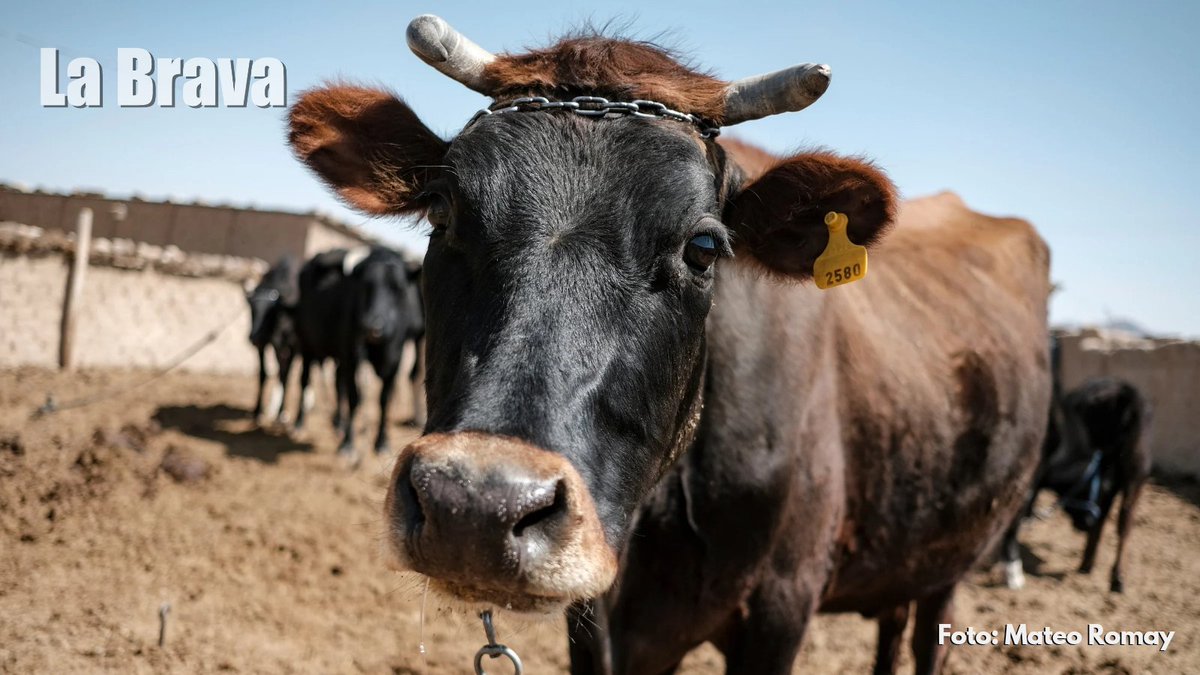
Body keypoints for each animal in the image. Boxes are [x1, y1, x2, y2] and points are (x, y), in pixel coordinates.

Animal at [246, 257, 300, 426]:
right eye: (251, 309)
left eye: (269, 312)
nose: (254, 337)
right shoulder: (267, 344)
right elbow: (263, 374)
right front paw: (257, 411)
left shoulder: (293, 345)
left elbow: (287, 375)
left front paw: (283, 414)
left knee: (286, 373)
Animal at [293, 247, 425, 463]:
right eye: (365, 285)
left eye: (398, 288)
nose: (373, 327)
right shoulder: (353, 356)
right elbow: (355, 398)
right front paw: (348, 444)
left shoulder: (394, 360)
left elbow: (384, 399)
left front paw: (381, 442)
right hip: (307, 345)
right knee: (304, 380)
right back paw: (298, 423)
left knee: (338, 384)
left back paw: (338, 422)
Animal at [1001, 367, 1151, 594]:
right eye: (1094, 489)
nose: (1088, 522)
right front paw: (1013, 572)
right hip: (1134, 471)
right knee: (1121, 521)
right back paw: (1105, 573)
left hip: (1134, 471)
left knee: (1120, 521)